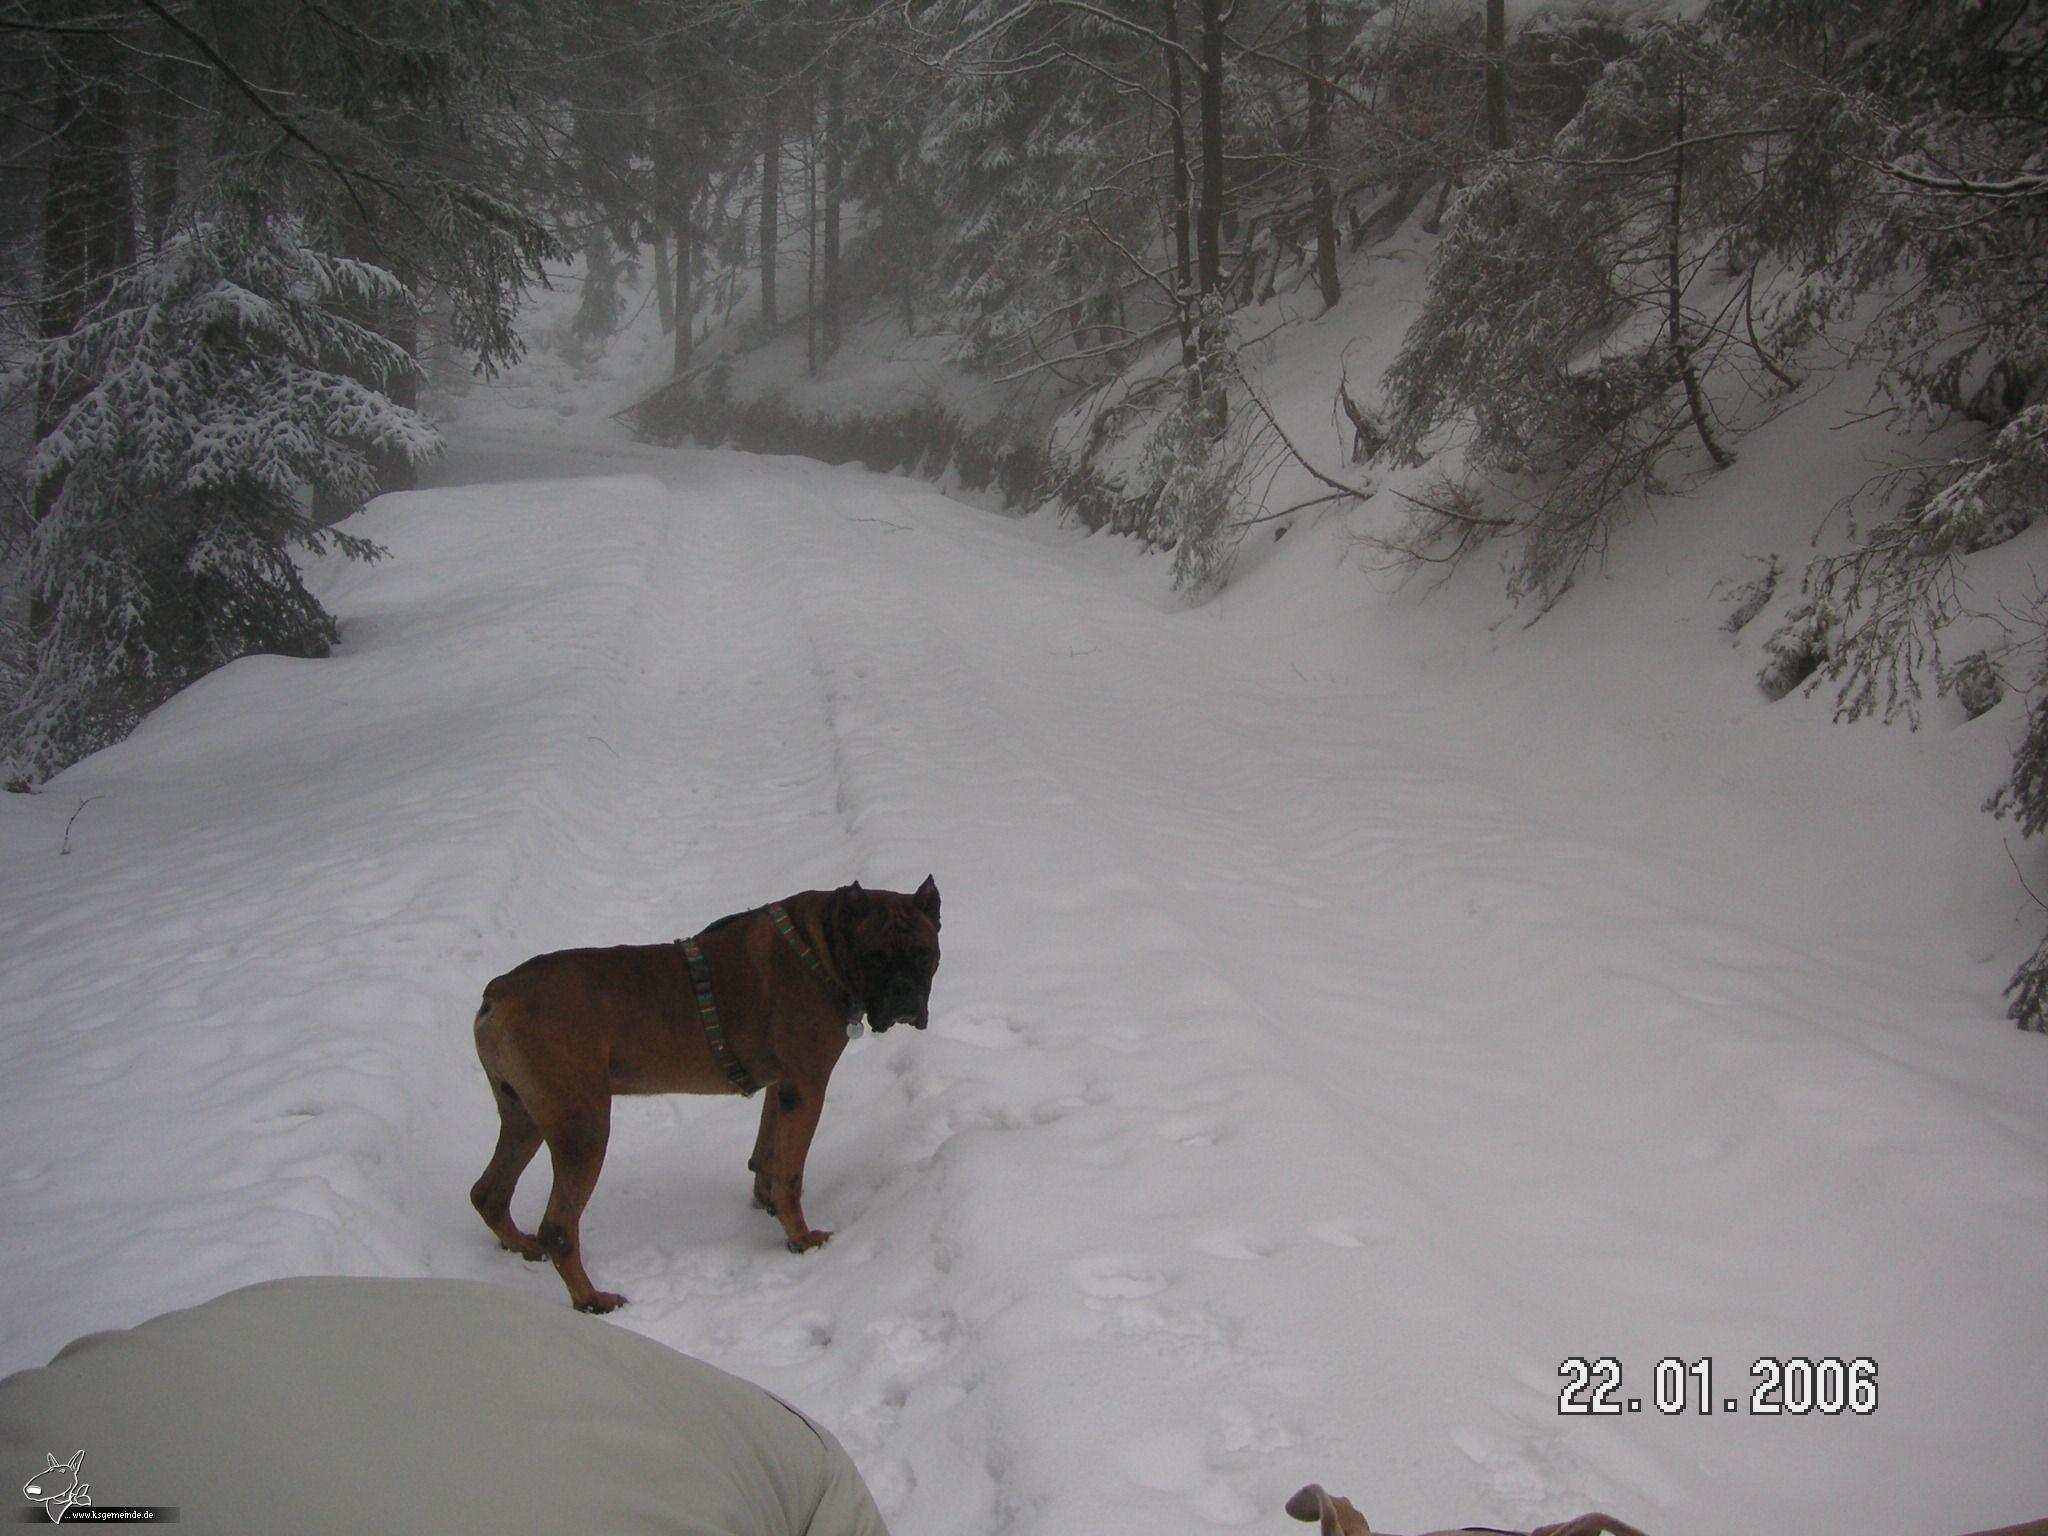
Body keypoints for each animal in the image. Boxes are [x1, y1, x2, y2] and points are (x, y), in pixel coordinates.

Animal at [468, 876, 937, 1310]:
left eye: (924, 955)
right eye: (874, 958)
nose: (905, 995)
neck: (822, 943)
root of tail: (499, 992)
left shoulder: (781, 1087)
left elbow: (767, 1153)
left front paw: (765, 1200)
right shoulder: (805, 1088)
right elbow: (790, 1175)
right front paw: (800, 1239)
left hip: (524, 1116)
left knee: (488, 1193)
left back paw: (522, 1245)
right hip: (582, 1128)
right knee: (558, 1229)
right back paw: (592, 1298)